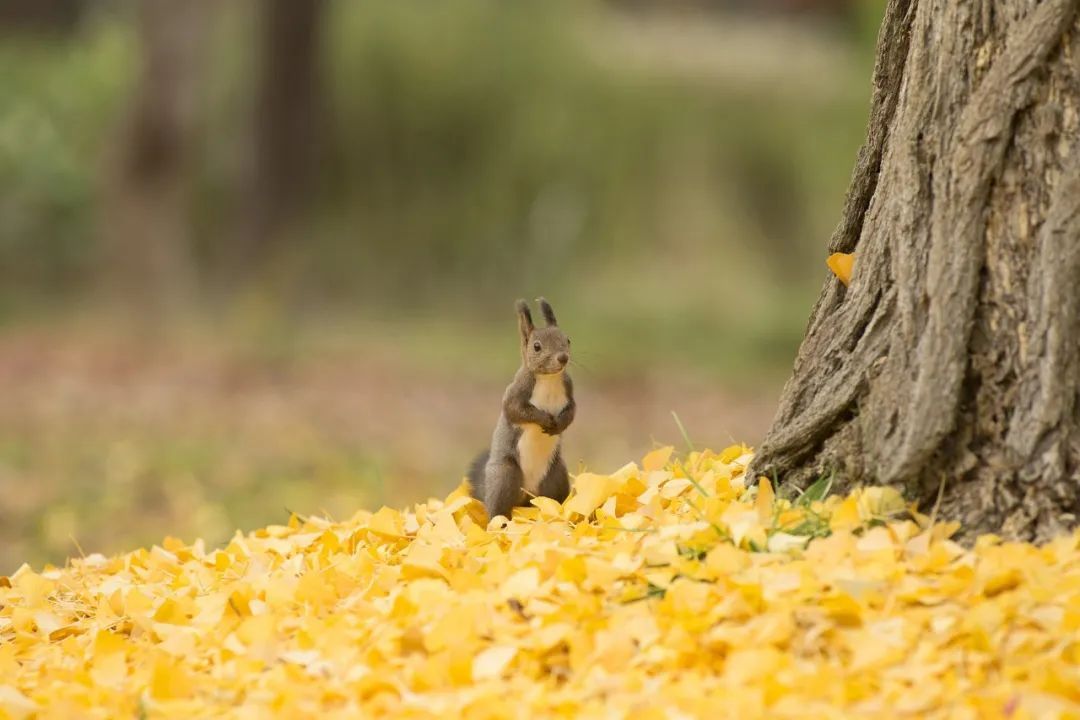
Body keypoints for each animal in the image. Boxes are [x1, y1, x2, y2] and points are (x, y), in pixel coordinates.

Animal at [468, 295, 578, 520]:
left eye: (568, 340)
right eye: (536, 347)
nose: (563, 358)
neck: (549, 379)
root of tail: (528, 495)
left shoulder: (569, 390)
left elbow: (572, 410)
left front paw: (559, 424)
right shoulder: (516, 392)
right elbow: (516, 411)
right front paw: (544, 419)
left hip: (557, 476)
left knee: (555, 500)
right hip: (505, 476)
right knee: (498, 509)